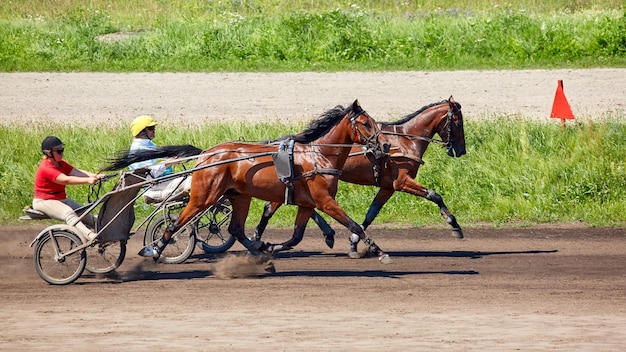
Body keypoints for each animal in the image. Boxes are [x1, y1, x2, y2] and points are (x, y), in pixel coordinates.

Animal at [102, 100, 390, 262]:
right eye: (365, 123)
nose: (384, 145)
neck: (317, 155)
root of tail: (207, 154)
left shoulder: (307, 203)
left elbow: (296, 236)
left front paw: (270, 245)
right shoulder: (323, 200)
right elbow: (354, 224)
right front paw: (378, 251)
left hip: (239, 196)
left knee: (235, 229)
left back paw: (257, 250)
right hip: (204, 195)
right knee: (176, 223)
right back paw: (156, 249)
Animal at [252, 95, 464, 256]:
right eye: (457, 122)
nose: (461, 150)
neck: (405, 140)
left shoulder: (387, 186)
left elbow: (372, 212)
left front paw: (354, 242)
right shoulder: (402, 181)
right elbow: (434, 195)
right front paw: (454, 225)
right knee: (270, 208)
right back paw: (257, 240)